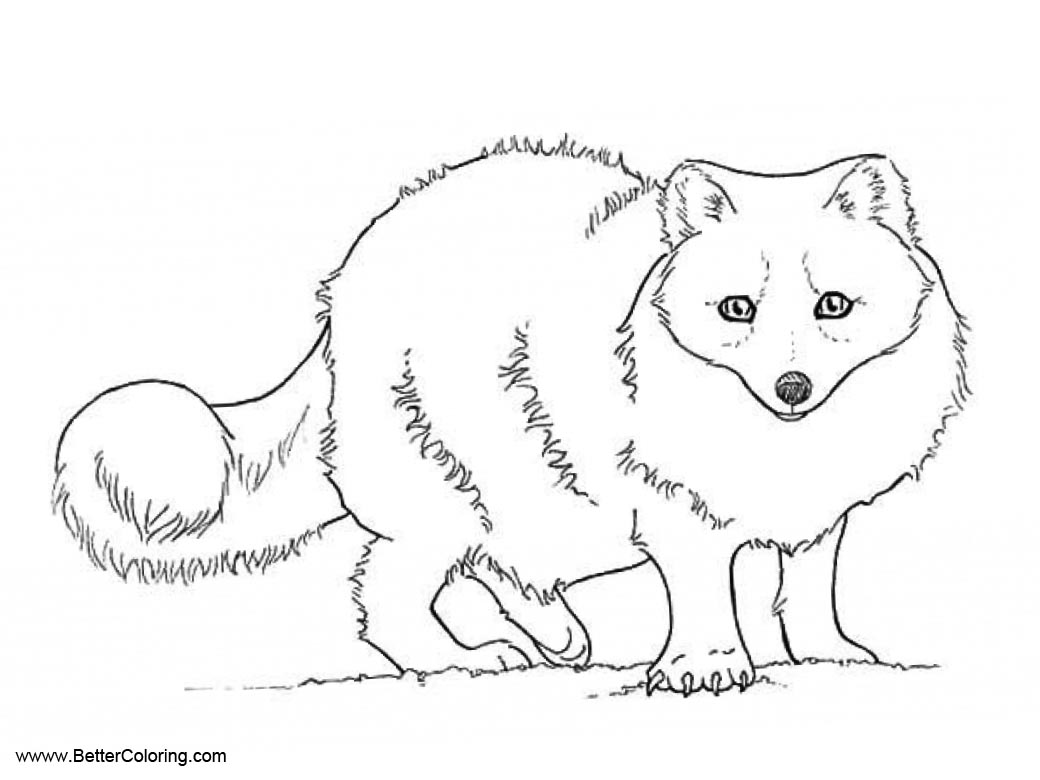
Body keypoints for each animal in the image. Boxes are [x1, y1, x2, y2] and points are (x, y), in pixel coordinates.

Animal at [52, 137, 969, 695]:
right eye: (737, 308)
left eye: (833, 305)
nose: (792, 387)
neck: (776, 449)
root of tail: (341, 294)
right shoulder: (676, 510)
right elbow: (707, 595)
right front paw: (707, 667)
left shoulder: (822, 516)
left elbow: (808, 589)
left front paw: (834, 654)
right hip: (447, 499)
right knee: (387, 594)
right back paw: (467, 659)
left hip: (555, 505)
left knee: (499, 566)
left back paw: (554, 638)